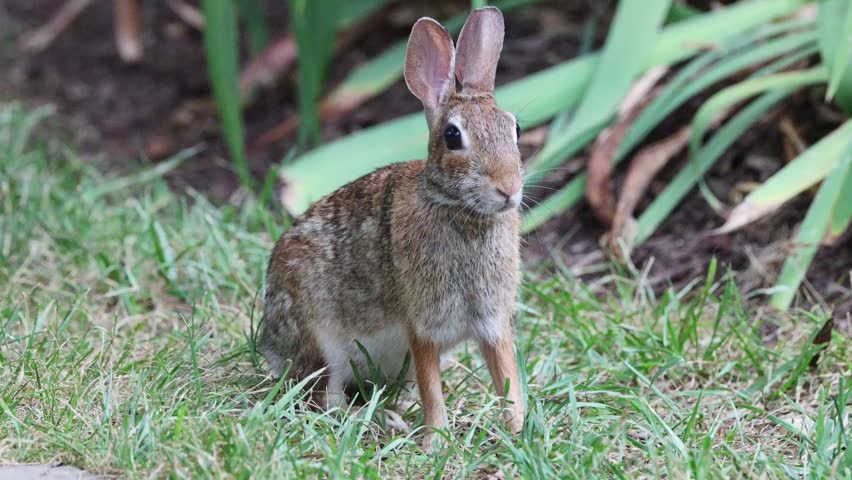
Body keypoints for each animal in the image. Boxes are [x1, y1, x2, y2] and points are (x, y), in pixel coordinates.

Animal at [259, 6, 524, 446]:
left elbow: (506, 378)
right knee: (323, 399)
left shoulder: (492, 323)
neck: (460, 210)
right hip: (321, 340)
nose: (509, 189)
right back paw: (381, 421)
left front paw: (519, 429)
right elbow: (432, 387)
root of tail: (270, 344)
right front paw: (436, 440)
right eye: (452, 136)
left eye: (514, 128)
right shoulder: (423, 326)